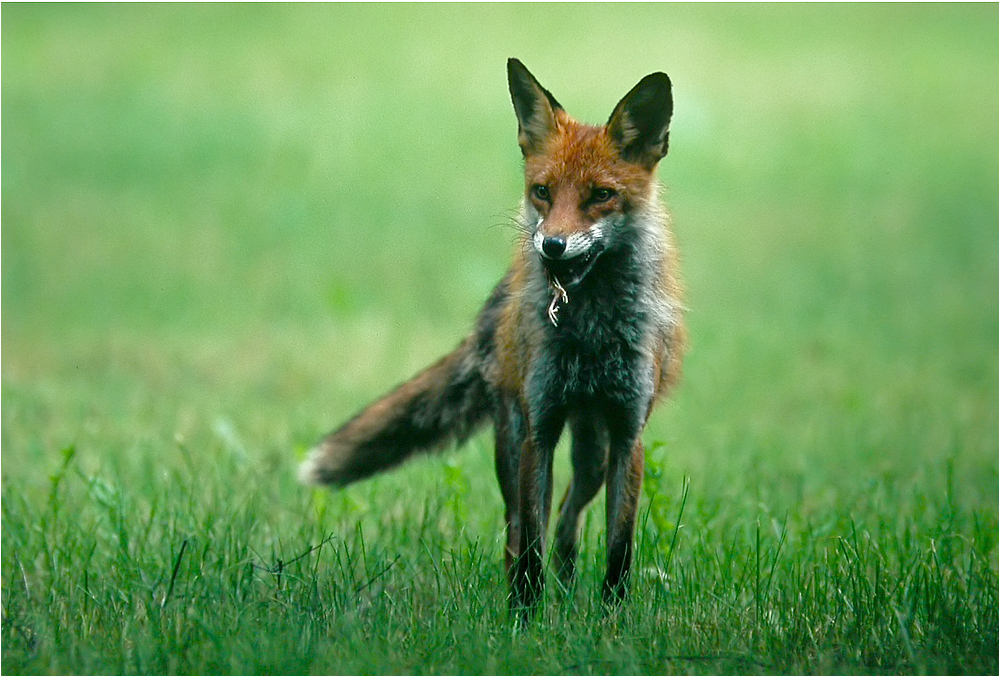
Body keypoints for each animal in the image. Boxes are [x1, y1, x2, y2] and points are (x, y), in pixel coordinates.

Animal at [300, 58, 684, 616]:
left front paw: (611, 617)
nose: (551, 246)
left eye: (601, 195)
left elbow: (618, 548)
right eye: (542, 191)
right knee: (520, 527)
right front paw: (526, 618)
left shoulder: (627, 431)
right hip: (514, 435)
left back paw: (570, 584)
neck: (590, 334)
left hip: (593, 451)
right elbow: (528, 544)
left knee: (568, 511)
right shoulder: (539, 426)